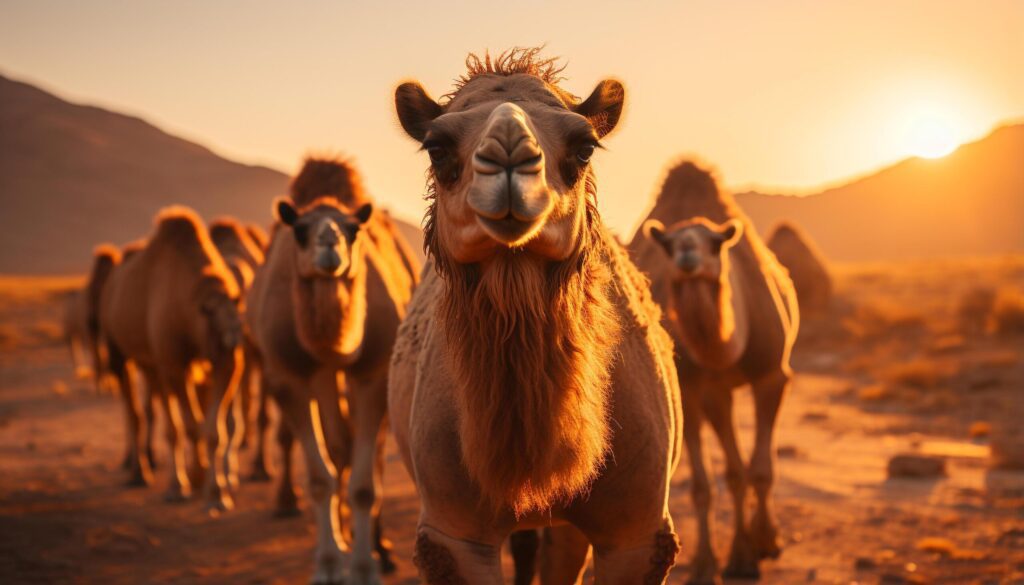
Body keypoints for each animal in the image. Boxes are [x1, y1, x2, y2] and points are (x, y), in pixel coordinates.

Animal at [99, 207, 243, 510]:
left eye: (240, 323)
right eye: (218, 325)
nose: (234, 342)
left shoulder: (218, 363)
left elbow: (213, 429)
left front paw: (216, 493)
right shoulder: (175, 362)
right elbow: (188, 427)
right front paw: (190, 482)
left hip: (152, 363)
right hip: (120, 351)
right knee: (136, 412)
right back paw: (142, 475)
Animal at [247, 155, 419, 585]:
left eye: (353, 230)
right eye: (300, 230)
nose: (329, 245)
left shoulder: (373, 373)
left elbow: (364, 484)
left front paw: (363, 567)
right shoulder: (290, 377)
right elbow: (318, 476)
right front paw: (328, 563)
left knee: (366, 453)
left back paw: (380, 549)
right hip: (321, 376)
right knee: (339, 446)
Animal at [626, 161, 802, 585]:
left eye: (715, 244)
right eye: (670, 245)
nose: (688, 257)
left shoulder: (772, 375)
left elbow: (760, 470)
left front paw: (764, 544)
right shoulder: (696, 389)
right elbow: (710, 483)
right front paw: (711, 564)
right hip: (704, 394)